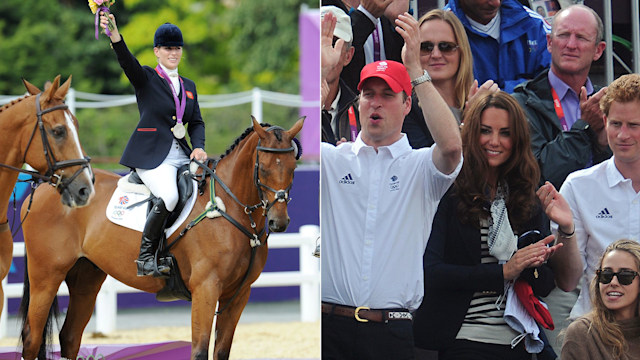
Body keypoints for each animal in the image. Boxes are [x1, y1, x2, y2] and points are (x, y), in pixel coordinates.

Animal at [21, 116, 306, 358]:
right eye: (263, 169)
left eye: (293, 167)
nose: (278, 222)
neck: (229, 208)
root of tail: (47, 185)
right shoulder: (206, 289)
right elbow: (199, 350)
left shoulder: (238, 294)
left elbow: (222, 351)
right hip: (46, 276)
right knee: (32, 337)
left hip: (86, 277)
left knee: (70, 336)